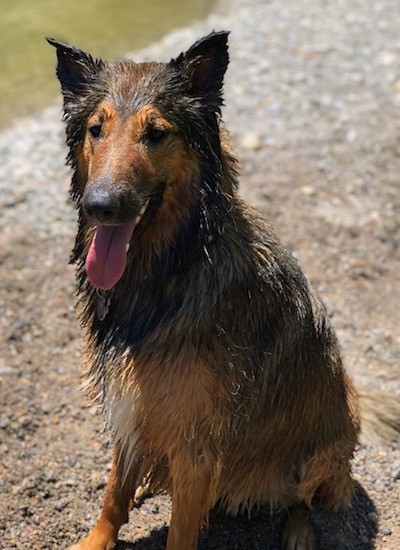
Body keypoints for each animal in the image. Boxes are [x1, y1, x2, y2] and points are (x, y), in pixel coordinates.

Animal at [47, 31, 400, 550]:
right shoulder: (133, 406)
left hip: (323, 449)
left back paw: (298, 530)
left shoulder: (195, 444)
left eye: (156, 133)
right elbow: (114, 492)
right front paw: (96, 538)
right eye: (96, 129)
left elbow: (178, 531)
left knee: (302, 497)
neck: (174, 266)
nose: (101, 206)